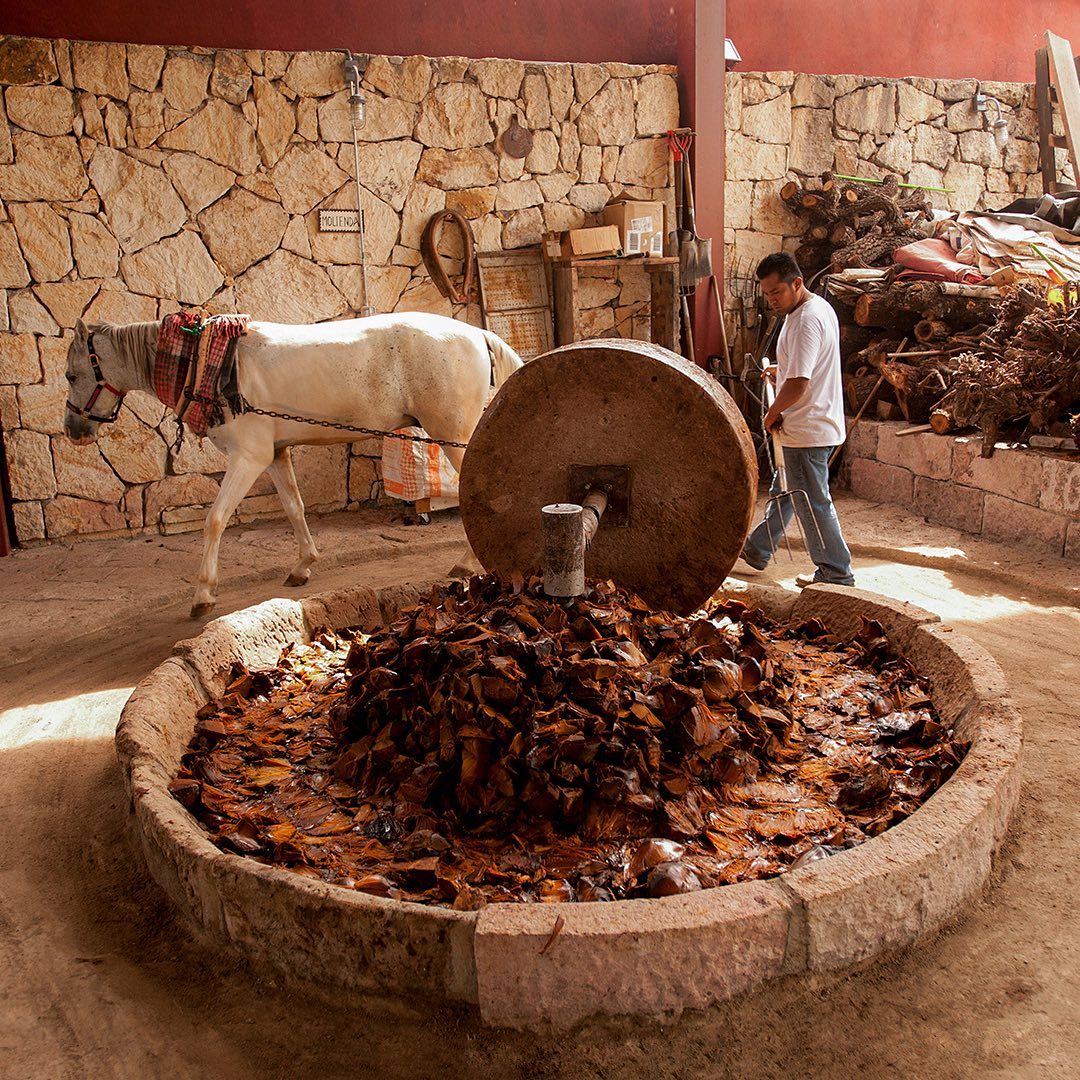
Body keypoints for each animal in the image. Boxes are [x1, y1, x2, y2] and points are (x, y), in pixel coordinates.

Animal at [63, 313, 522, 617]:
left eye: (71, 375)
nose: (73, 430)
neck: (207, 362)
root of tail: (476, 332)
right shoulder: (275, 455)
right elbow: (293, 508)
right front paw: (303, 565)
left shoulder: (248, 457)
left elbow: (215, 519)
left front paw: (203, 593)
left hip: (452, 432)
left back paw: (467, 562)